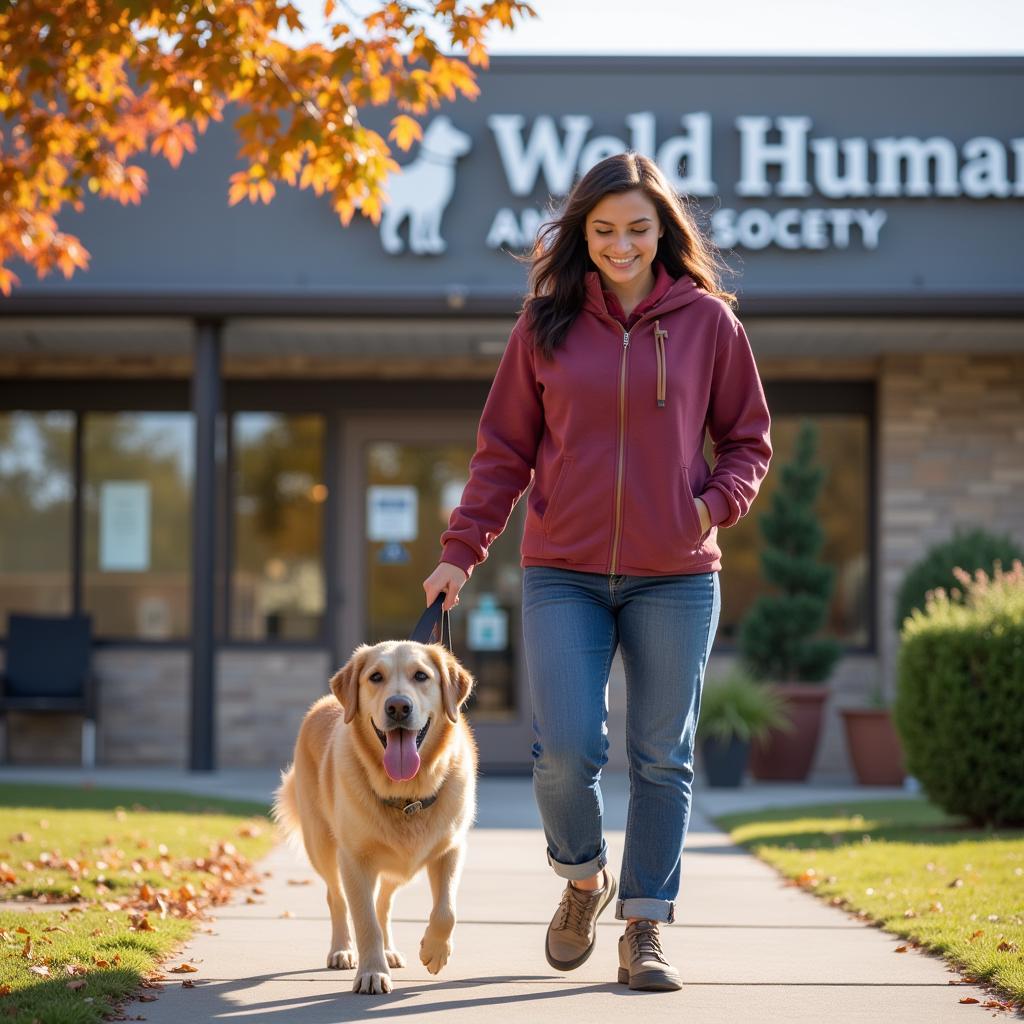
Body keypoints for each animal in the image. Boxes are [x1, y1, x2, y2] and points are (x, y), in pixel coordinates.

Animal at [274, 638, 477, 991]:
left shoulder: (451, 848)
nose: (398, 707)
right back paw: (342, 950)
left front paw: (435, 951)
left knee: (384, 902)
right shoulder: (354, 859)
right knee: (337, 898)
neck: (407, 794)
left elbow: (446, 910)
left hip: (397, 867)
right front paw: (371, 972)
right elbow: (364, 919)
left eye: (421, 676)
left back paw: (390, 950)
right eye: (375, 677)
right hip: (322, 847)